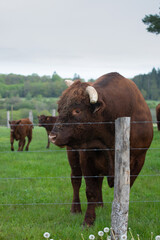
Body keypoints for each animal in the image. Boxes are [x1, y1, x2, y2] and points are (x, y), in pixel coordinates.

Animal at [49, 72, 153, 226]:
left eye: (77, 110)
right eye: (60, 108)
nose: (52, 136)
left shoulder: (139, 159)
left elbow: (125, 190)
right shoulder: (86, 157)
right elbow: (90, 190)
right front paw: (88, 221)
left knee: (98, 180)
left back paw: (99, 205)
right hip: (73, 155)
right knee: (76, 180)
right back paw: (76, 209)